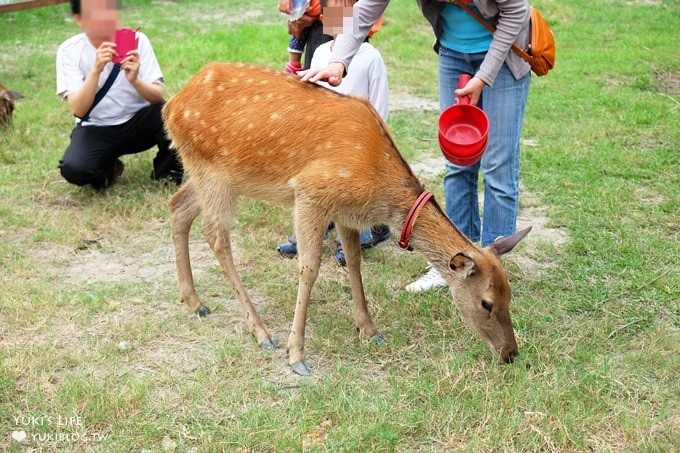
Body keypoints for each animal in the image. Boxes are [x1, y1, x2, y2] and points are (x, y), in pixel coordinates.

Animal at [165, 62, 532, 374]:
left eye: (510, 294)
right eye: (487, 303)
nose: (511, 353)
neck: (377, 182)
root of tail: (171, 106)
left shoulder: (346, 212)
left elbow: (354, 262)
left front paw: (369, 329)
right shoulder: (310, 193)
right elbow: (310, 268)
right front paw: (296, 355)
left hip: (207, 173)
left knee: (177, 206)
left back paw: (194, 302)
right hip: (213, 173)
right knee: (216, 238)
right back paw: (261, 332)